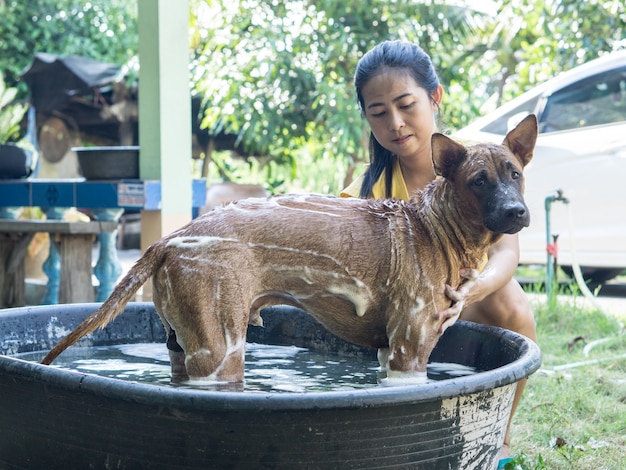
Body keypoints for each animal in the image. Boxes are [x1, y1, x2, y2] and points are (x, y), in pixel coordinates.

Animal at [41, 114, 536, 386]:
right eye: (478, 181)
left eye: (515, 173)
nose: (517, 213)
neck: (434, 226)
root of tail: (168, 240)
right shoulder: (408, 352)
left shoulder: (388, 352)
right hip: (220, 349)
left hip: (182, 345)